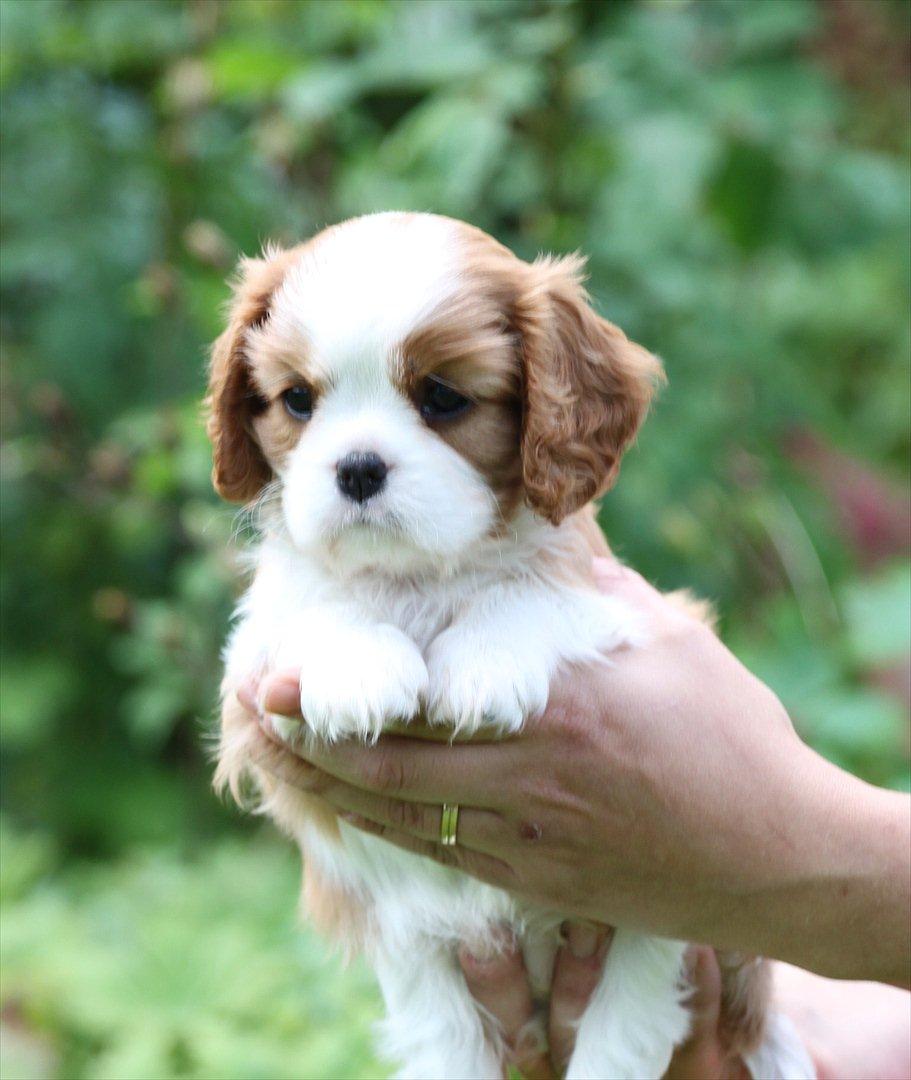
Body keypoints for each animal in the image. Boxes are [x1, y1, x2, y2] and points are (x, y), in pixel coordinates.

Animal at [210, 212, 816, 1080]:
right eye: (296, 400)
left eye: (441, 397)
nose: (356, 468)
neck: (422, 574)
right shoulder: (253, 677)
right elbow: (310, 603)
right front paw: (355, 663)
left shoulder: (633, 609)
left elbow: (533, 589)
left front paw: (484, 662)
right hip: (416, 943)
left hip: (654, 916)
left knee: (628, 1027)